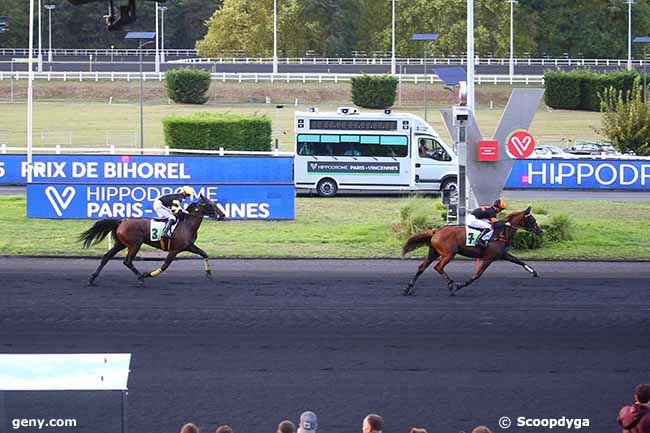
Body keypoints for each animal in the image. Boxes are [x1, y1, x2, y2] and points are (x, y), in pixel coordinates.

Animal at [79, 195, 225, 284]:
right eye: (210, 204)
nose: (222, 215)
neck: (186, 224)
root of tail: (121, 222)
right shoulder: (175, 250)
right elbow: (165, 266)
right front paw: (146, 274)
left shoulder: (189, 246)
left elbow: (204, 254)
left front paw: (209, 274)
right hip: (134, 244)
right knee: (127, 261)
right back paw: (140, 277)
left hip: (121, 244)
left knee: (106, 257)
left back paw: (92, 278)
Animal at [400, 207, 540, 296]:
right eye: (532, 219)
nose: (540, 230)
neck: (500, 233)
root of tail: (436, 231)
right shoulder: (489, 258)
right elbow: (477, 275)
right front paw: (460, 285)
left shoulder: (503, 254)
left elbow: (519, 261)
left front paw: (534, 272)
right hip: (448, 254)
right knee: (438, 267)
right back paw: (451, 285)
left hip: (433, 253)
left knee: (421, 268)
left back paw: (407, 288)